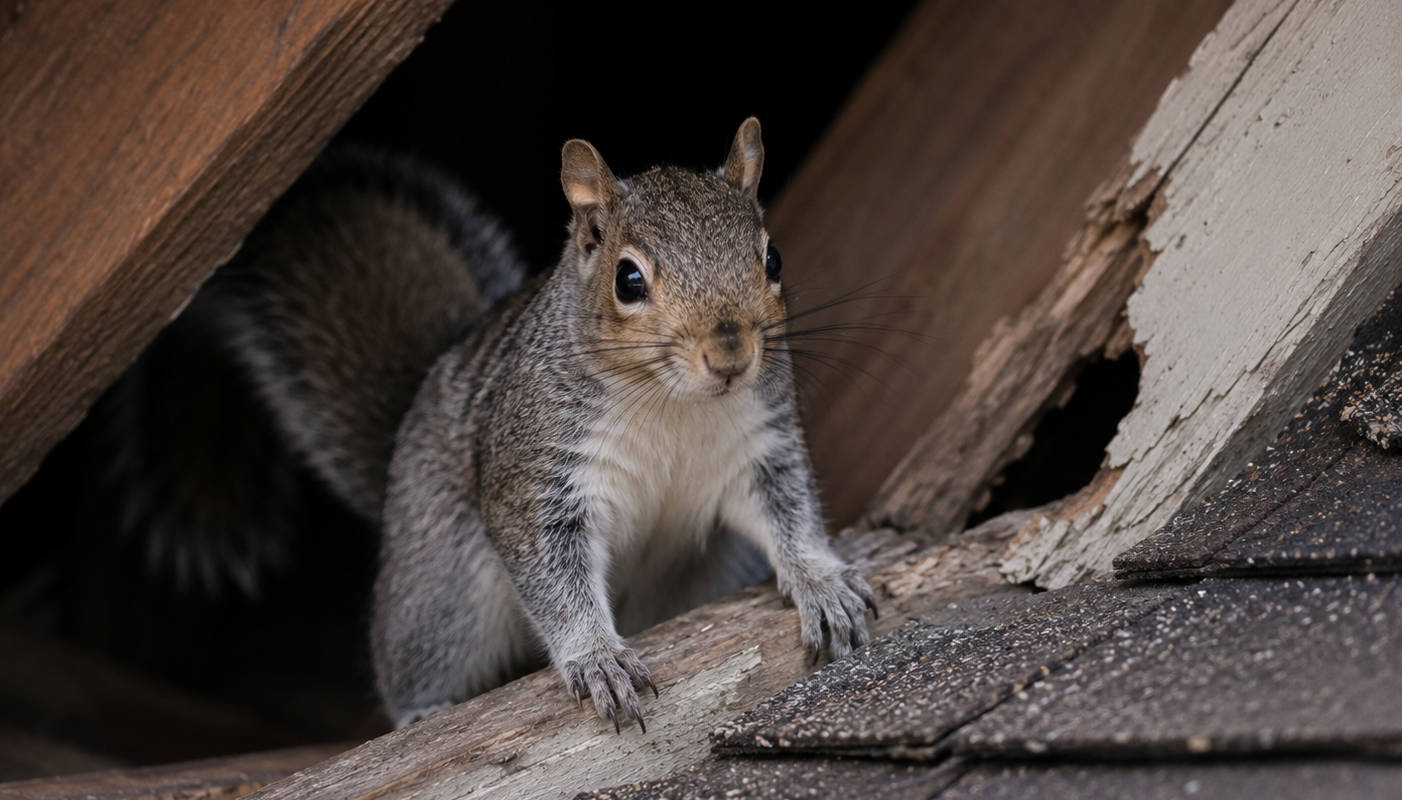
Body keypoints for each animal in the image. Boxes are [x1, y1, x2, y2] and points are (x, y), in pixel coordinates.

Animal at [107, 118, 875, 732]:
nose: (730, 354)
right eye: (628, 280)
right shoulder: (534, 475)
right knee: (412, 660)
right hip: (443, 588)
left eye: (772, 258)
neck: (671, 404)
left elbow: (789, 514)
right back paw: (422, 710)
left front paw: (823, 584)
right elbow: (552, 575)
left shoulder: (763, 444)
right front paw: (597, 658)